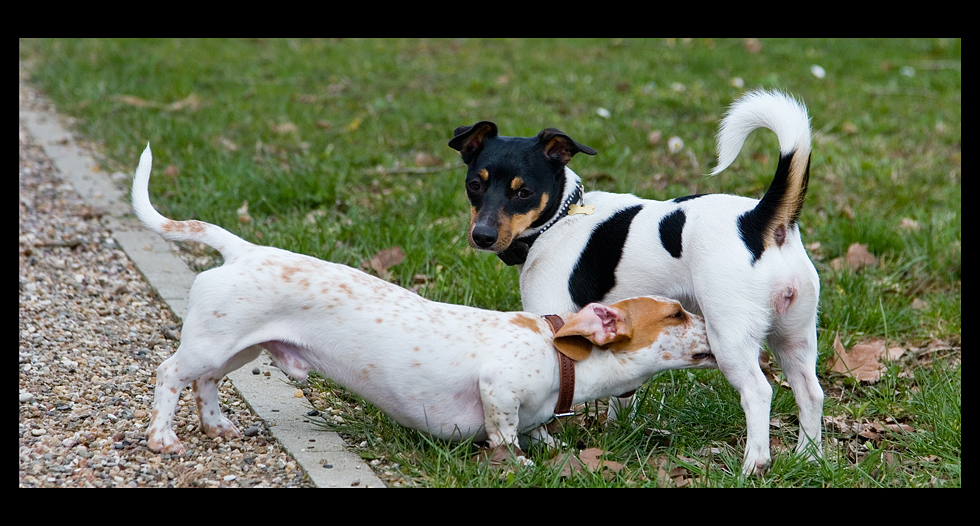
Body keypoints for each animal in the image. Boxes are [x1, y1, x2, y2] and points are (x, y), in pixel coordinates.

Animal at [450, 88, 820, 476]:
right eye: (474, 185)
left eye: (524, 193)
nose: (482, 236)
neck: (560, 218)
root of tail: (757, 220)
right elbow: (622, 391)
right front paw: (615, 432)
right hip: (795, 335)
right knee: (809, 392)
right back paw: (808, 457)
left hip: (730, 336)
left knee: (758, 392)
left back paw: (753, 463)